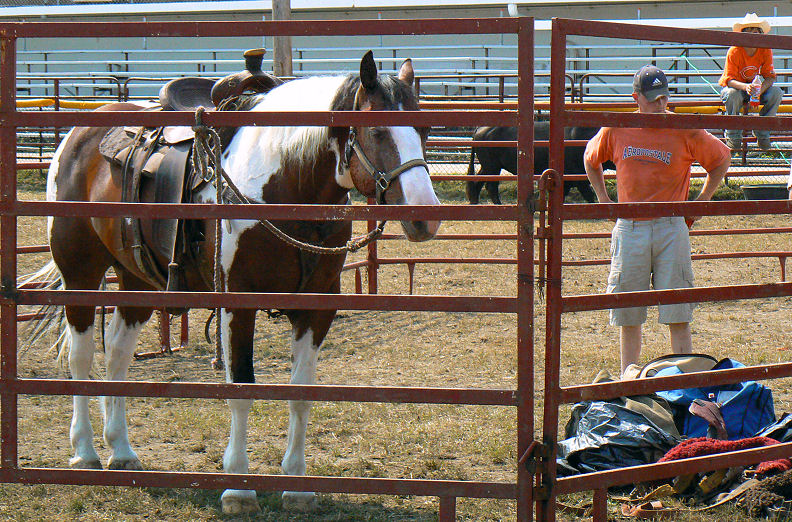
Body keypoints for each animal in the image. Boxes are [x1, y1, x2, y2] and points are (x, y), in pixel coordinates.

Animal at [27, 52, 442, 512]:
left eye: (424, 129)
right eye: (378, 130)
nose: (425, 217)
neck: (283, 186)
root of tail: (76, 136)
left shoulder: (317, 307)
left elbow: (302, 390)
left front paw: (298, 485)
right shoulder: (237, 303)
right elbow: (241, 386)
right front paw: (239, 488)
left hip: (138, 280)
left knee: (116, 354)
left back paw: (121, 451)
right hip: (80, 272)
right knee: (81, 357)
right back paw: (85, 452)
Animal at [464, 121, 608, 204]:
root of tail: (479, 129)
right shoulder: (578, 177)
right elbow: (589, 194)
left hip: (488, 167)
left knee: (478, 182)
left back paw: (475, 201)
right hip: (492, 167)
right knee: (491, 186)